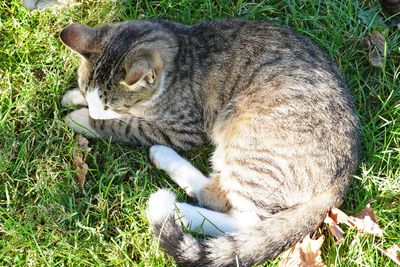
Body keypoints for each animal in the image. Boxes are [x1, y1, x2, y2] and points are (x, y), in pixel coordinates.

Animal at [60, 19, 362, 266]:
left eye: (112, 107)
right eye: (88, 91)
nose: (95, 110)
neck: (180, 50)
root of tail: (344, 173)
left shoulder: (184, 129)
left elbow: (129, 125)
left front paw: (85, 119)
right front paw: (76, 98)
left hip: (248, 144)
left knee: (240, 217)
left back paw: (178, 209)